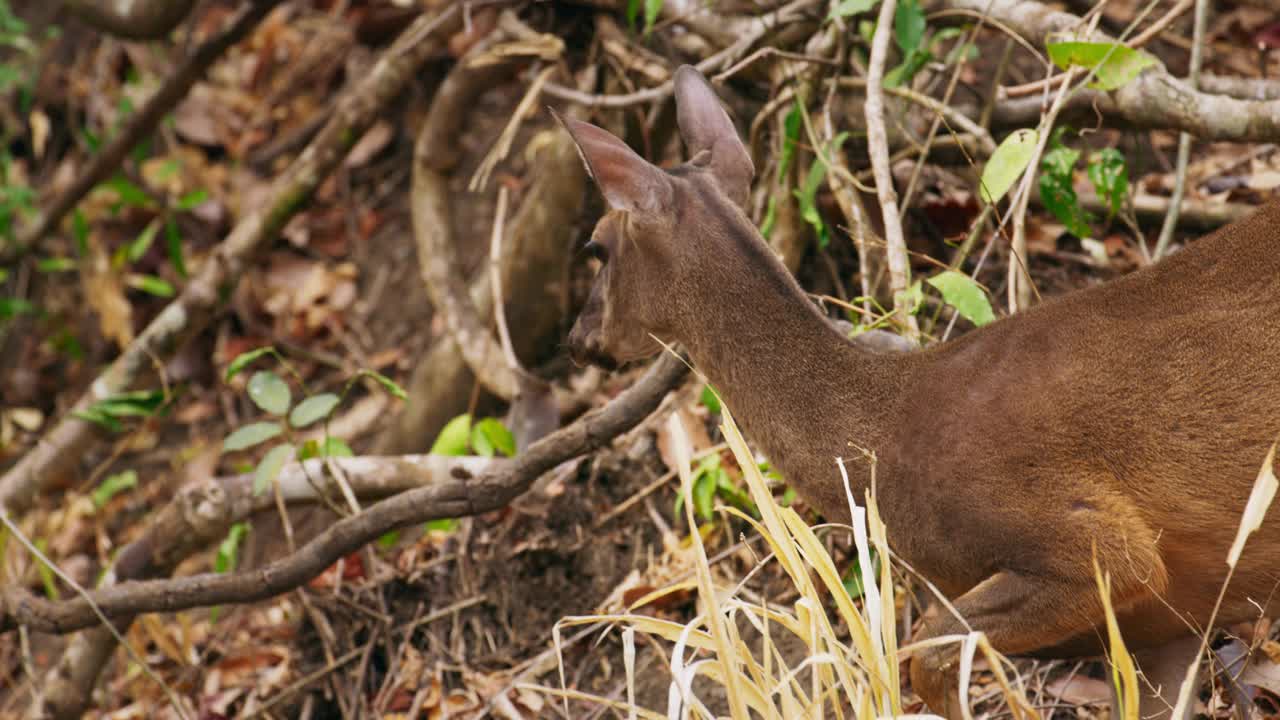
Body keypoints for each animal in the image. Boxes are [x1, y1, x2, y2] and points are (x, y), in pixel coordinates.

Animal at [558, 64, 1280, 712]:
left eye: (595, 248)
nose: (576, 337)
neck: (883, 435)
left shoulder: (1101, 545)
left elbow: (926, 653)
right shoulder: (1174, 621)